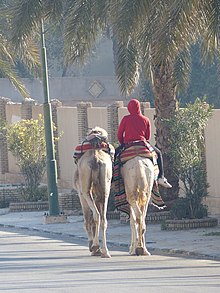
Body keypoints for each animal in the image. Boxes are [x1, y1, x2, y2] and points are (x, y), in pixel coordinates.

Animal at [73, 126, 114, 256]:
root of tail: (96, 158)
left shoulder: (81, 195)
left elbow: (87, 220)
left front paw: (92, 246)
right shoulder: (98, 196)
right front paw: (97, 248)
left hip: (85, 191)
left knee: (95, 215)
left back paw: (95, 247)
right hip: (106, 188)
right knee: (103, 218)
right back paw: (105, 251)